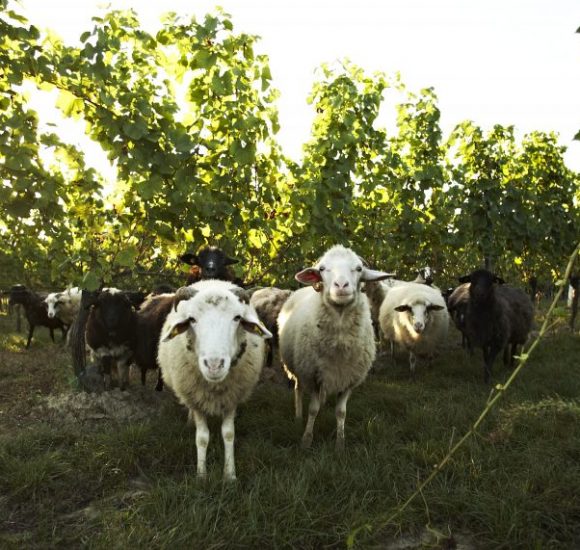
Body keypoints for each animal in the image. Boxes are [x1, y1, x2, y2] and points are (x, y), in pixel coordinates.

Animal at [157, 282, 274, 480]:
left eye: (237, 318)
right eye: (192, 319)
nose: (214, 364)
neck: (214, 386)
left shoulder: (232, 398)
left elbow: (228, 434)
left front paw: (230, 475)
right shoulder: (196, 399)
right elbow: (202, 437)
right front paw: (201, 475)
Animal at [278, 247, 394, 452]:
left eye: (358, 268)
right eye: (323, 269)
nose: (341, 285)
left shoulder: (349, 379)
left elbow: (341, 412)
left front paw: (340, 444)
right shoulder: (314, 376)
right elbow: (313, 409)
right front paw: (306, 440)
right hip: (297, 368)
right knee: (298, 389)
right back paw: (298, 416)